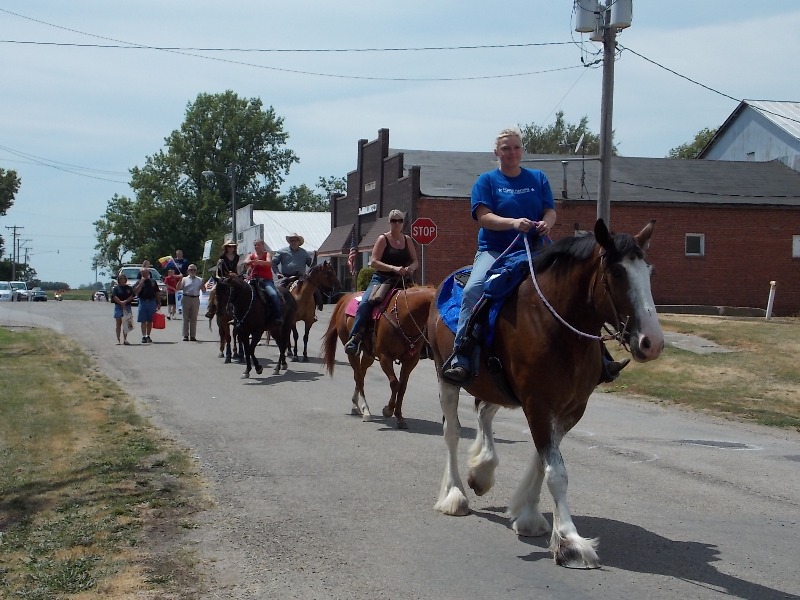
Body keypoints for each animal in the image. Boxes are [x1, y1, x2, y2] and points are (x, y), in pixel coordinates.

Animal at [321, 284, 435, 429]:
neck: (404, 316)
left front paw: (400, 417)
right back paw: (366, 411)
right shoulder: (385, 357)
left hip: (368, 355)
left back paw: (355, 406)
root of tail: (347, 297)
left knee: (361, 375)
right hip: (353, 353)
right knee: (359, 378)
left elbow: (402, 387)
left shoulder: (410, 361)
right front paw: (388, 410)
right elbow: (394, 383)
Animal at [427, 219, 664, 568]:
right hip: (447, 379)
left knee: (484, 413)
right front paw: (570, 541)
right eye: (617, 272)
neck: (557, 327)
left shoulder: (570, 409)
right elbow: (556, 472)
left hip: (498, 389)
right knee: (452, 433)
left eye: (649, 271)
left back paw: (482, 471)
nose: (652, 342)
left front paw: (528, 516)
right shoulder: (538, 404)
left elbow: (544, 461)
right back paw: (455, 494)